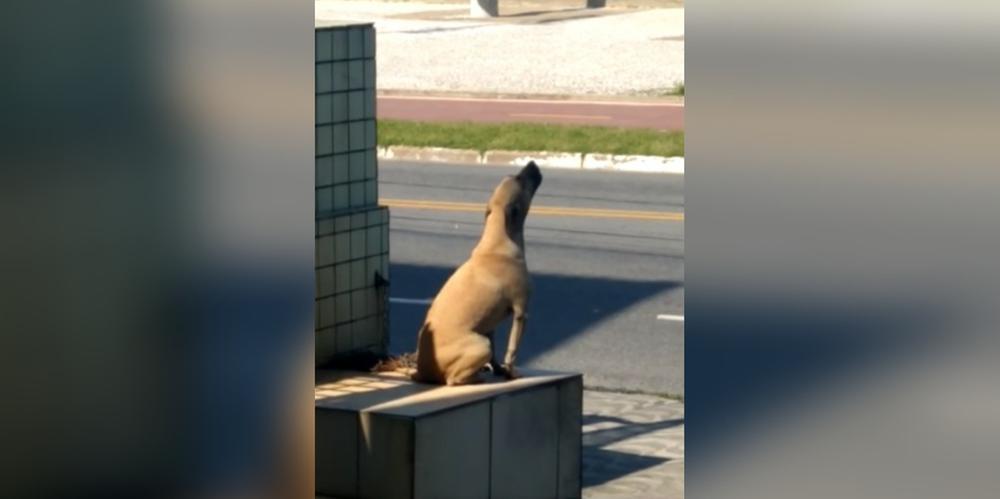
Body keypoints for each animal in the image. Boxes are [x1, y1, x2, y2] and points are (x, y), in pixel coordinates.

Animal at [410, 162, 544, 384]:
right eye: (518, 179)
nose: (532, 163)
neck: (498, 239)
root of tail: (423, 370)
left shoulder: (491, 324)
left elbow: (497, 352)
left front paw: (498, 369)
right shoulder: (521, 312)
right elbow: (512, 350)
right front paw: (511, 373)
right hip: (480, 344)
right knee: (453, 379)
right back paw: (476, 378)